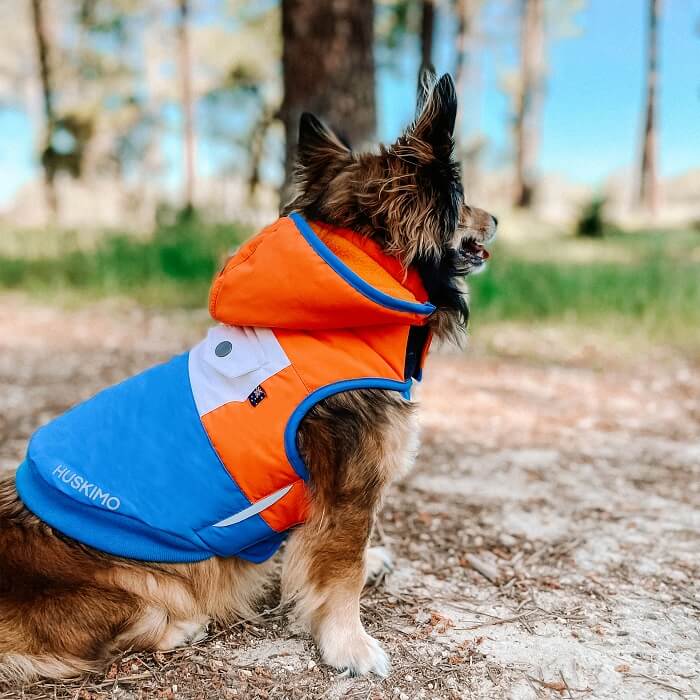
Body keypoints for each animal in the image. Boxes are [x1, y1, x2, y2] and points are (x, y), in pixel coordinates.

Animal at [0, 71, 494, 684]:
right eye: (464, 202)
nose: (496, 219)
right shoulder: (352, 487)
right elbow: (342, 571)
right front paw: (349, 645)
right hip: (142, 580)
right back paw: (183, 627)